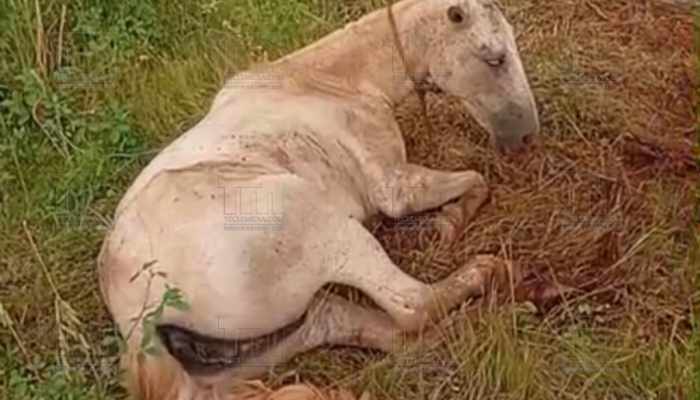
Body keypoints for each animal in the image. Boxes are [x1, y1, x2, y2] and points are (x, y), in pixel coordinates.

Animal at [98, 0, 539, 398]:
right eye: (495, 59)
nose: (526, 135)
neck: (335, 82)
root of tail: (138, 322)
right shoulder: (395, 187)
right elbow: (477, 180)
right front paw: (449, 222)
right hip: (327, 229)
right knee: (412, 306)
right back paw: (496, 275)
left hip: (269, 342)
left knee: (363, 326)